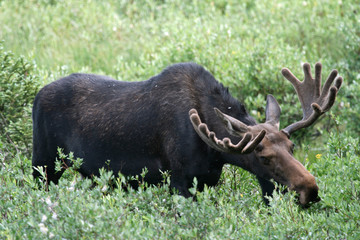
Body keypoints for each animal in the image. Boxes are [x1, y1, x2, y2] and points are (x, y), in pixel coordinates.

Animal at [32, 61, 342, 204]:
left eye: (292, 147)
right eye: (263, 157)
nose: (310, 189)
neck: (214, 152)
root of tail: (35, 96)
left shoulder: (207, 181)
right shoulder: (179, 182)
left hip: (92, 176)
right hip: (44, 165)